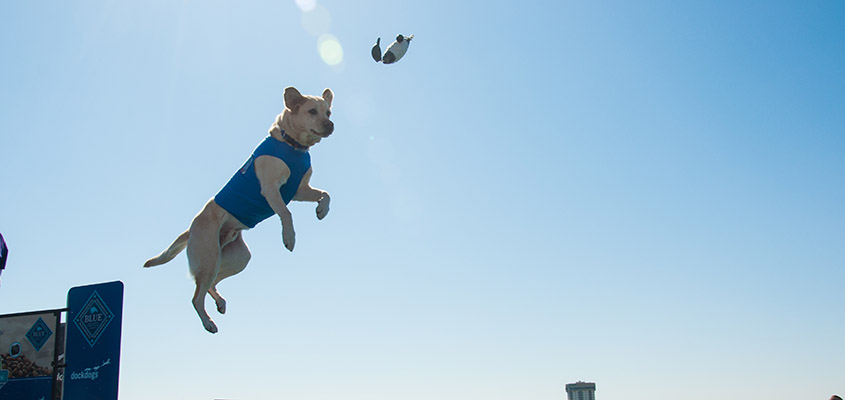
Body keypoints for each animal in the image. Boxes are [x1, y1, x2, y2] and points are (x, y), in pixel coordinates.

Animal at [145, 87, 332, 334]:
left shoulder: (300, 191)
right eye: (312, 111)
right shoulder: (271, 189)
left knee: (209, 285)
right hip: (209, 256)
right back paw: (208, 322)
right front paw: (289, 237)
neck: (292, 145)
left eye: (328, 112)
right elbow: (286, 213)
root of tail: (191, 228)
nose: (331, 125)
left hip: (236, 258)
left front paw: (322, 210)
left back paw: (219, 303)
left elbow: (326, 194)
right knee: (196, 296)